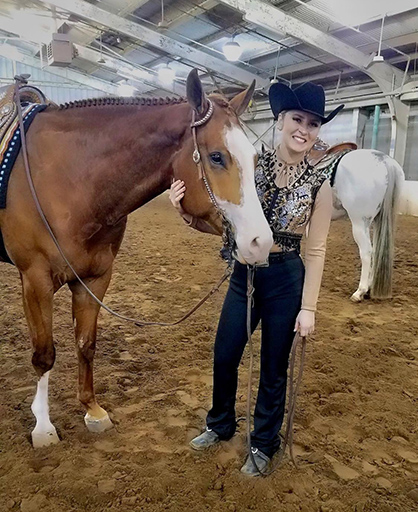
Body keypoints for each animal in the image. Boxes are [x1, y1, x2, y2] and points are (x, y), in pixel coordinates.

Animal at [0, 70, 272, 446]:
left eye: (256, 158)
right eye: (217, 157)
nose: (261, 243)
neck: (68, 178)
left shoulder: (95, 278)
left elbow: (86, 344)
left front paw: (93, 410)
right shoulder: (35, 280)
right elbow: (44, 354)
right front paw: (42, 427)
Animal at [330, 147, 404, 300]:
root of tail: (384, 160)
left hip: (359, 222)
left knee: (366, 252)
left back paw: (360, 292)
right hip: (376, 221)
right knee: (375, 251)